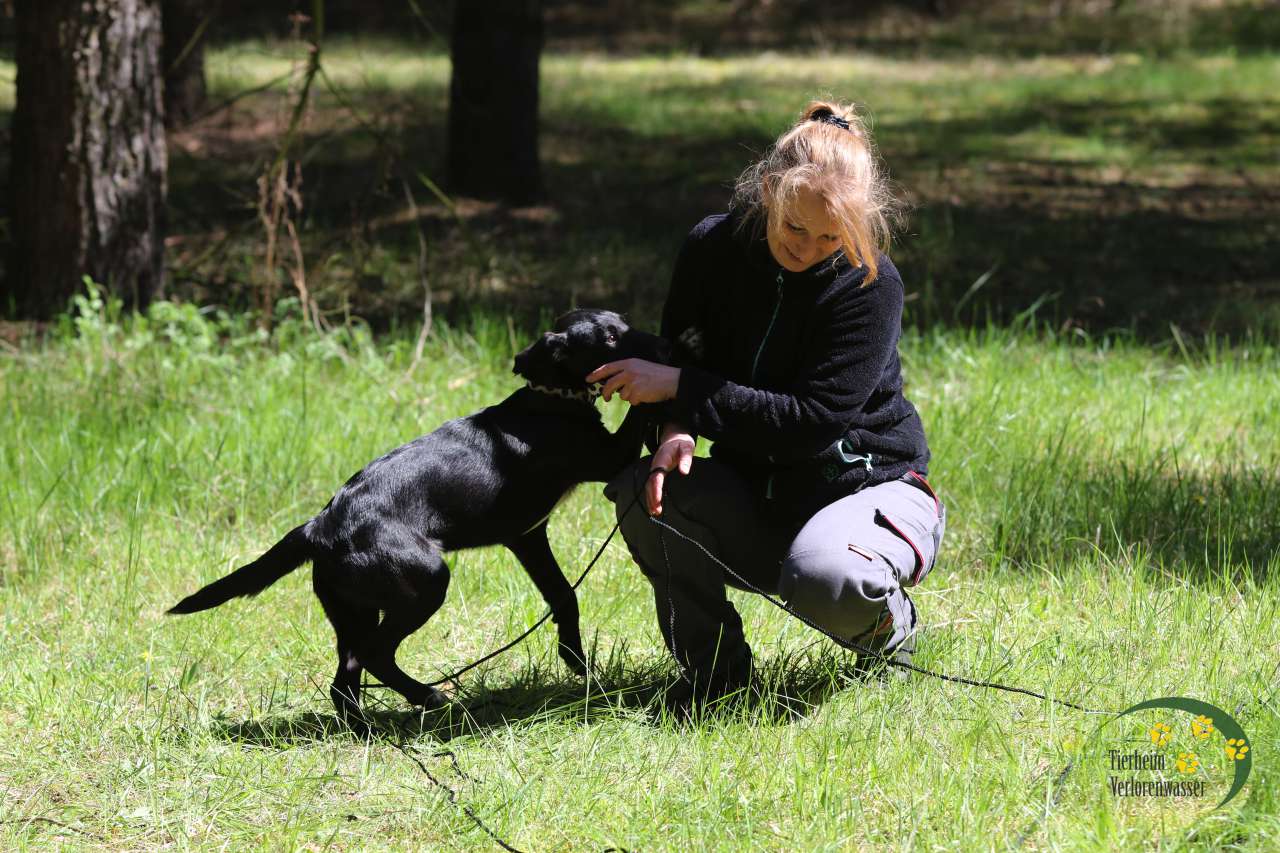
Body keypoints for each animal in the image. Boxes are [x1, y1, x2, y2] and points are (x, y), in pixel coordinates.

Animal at [168, 309, 669, 728]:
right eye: (610, 336)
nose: (663, 345)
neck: (551, 400)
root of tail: (320, 525)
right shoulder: (608, 459)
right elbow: (640, 410)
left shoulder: (528, 537)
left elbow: (564, 596)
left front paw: (575, 660)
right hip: (424, 582)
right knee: (375, 656)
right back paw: (428, 697)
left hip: (352, 608)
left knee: (346, 677)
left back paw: (367, 729)